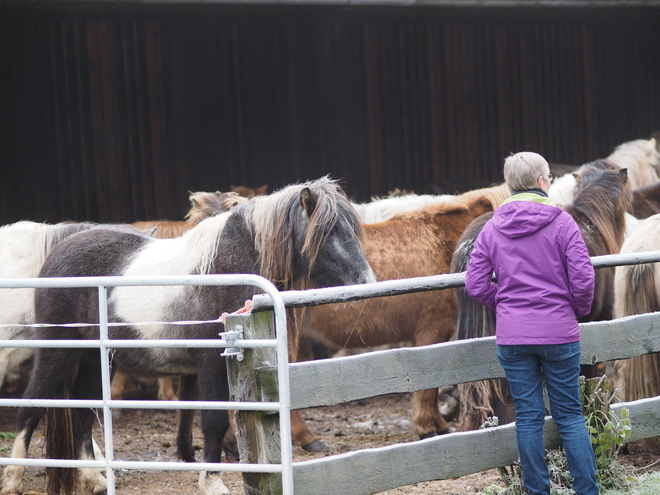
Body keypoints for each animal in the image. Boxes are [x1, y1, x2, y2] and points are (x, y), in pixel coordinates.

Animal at [2, 178, 376, 495]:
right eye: (326, 231)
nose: (367, 282)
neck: (227, 268)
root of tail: (61, 248)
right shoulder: (211, 363)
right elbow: (212, 422)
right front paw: (212, 482)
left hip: (98, 359)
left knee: (83, 413)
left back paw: (94, 479)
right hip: (58, 352)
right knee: (32, 405)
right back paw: (14, 479)